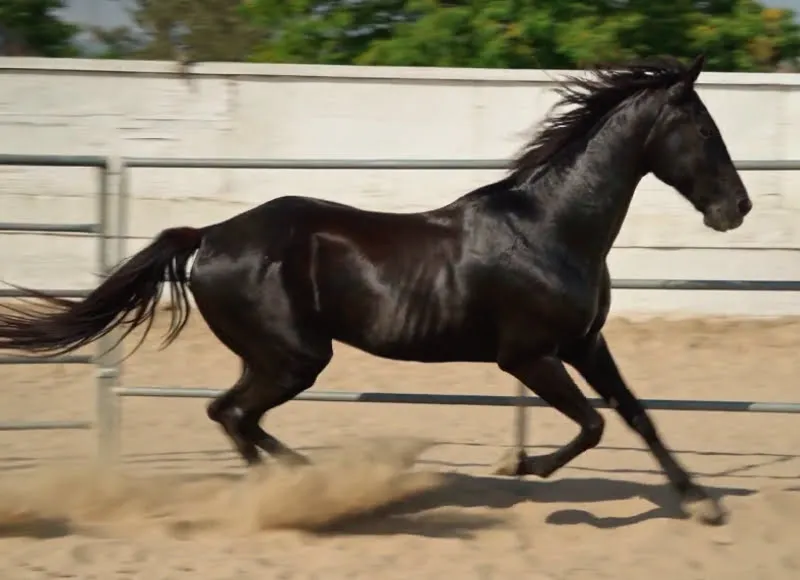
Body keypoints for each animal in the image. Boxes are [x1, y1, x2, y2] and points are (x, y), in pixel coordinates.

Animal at [0, 54, 751, 525]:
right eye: (704, 129)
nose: (736, 209)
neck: (550, 228)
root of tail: (208, 236)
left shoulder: (586, 343)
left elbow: (635, 415)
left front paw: (702, 502)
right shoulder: (529, 356)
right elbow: (592, 425)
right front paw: (520, 464)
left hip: (274, 357)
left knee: (230, 413)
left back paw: (311, 481)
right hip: (295, 358)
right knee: (235, 415)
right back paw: (311, 489)